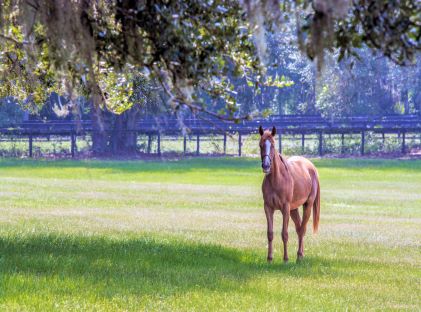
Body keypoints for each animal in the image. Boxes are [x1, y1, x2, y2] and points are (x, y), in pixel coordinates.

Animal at [258, 125, 320, 262]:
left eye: (273, 145)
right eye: (260, 145)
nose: (266, 165)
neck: (277, 179)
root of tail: (311, 167)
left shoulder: (285, 208)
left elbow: (284, 233)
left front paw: (285, 259)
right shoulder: (268, 208)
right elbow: (270, 233)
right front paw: (269, 258)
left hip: (307, 205)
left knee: (302, 229)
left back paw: (299, 256)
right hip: (294, 209)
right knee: (299, 228)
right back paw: (300, 255)